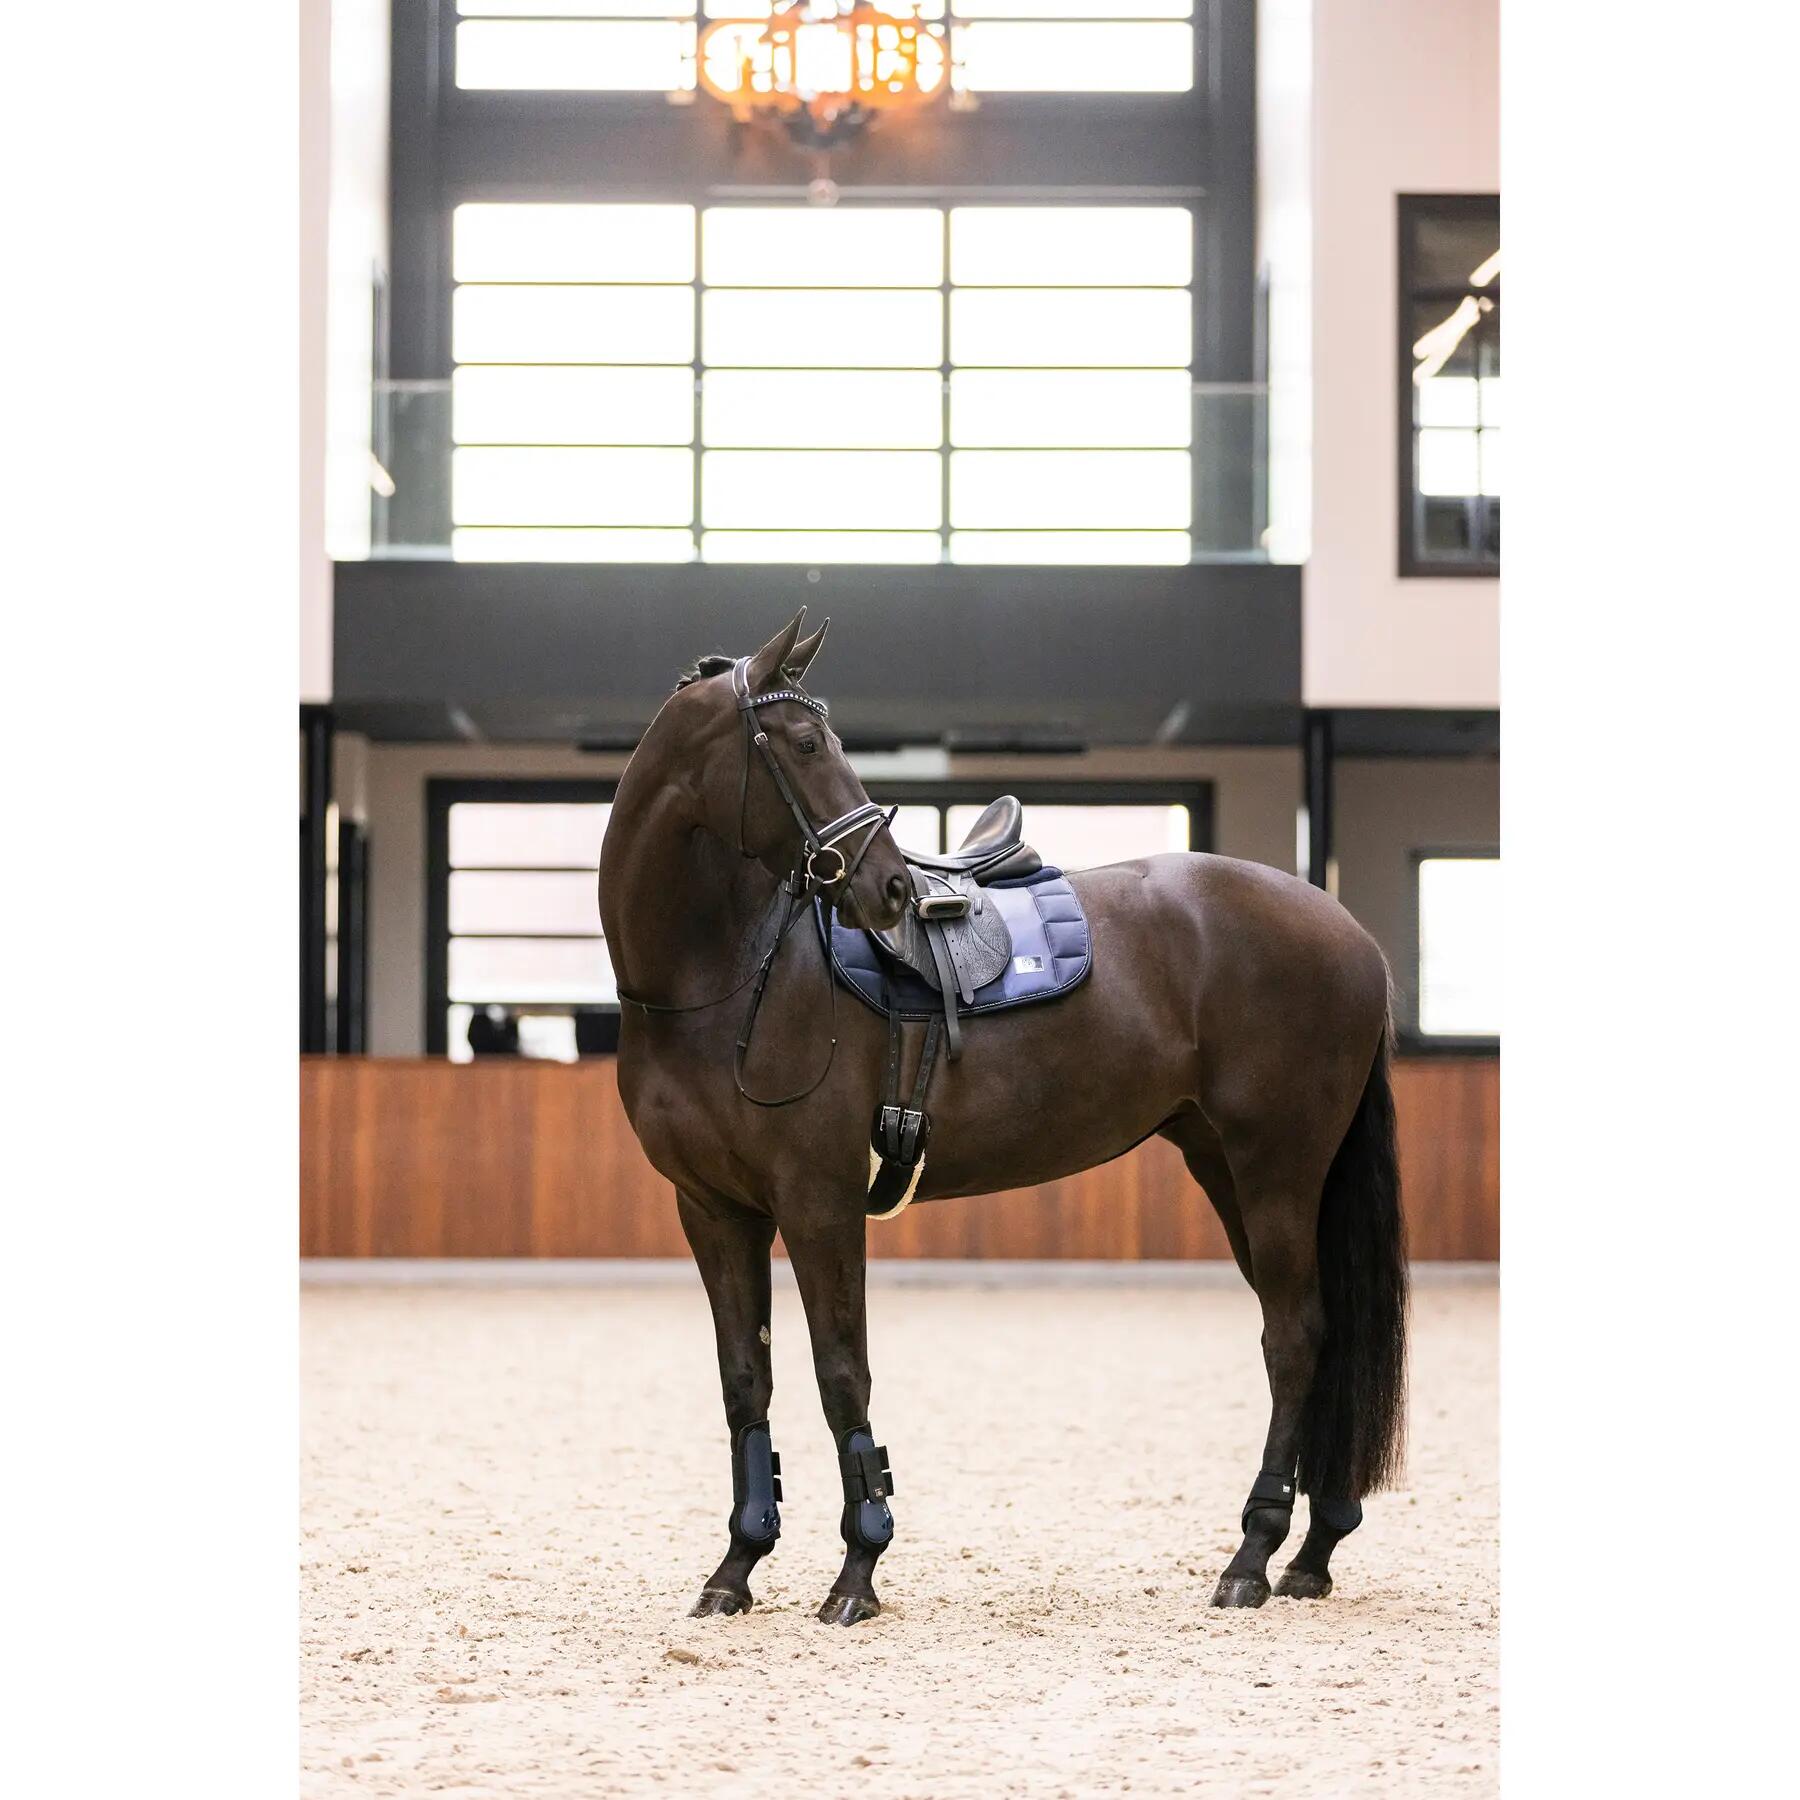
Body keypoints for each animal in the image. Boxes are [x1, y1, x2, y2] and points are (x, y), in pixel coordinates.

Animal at [599, 611, 1408, 1625]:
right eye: (802, 745)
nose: (891, 891)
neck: (728, 969)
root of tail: (1349, 932)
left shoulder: (818, 1202)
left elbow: (840, 1372)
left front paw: (858, 1569)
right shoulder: (714, 1210)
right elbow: (747, 1380)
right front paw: (737, 1565)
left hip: (1277, 1170)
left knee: (1294, 1337)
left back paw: (1252, 1557)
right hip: (1231, 1166)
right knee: (1318, 1333)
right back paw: (1313, 1550)